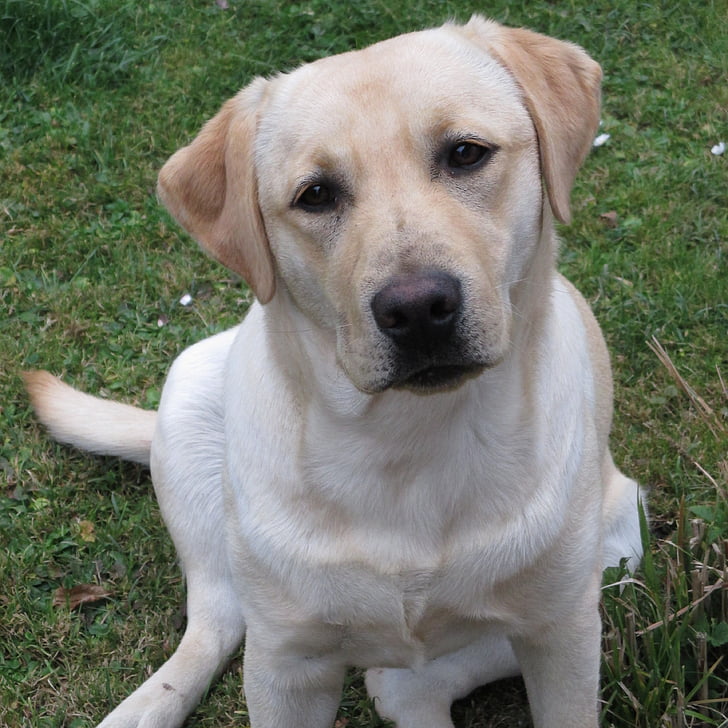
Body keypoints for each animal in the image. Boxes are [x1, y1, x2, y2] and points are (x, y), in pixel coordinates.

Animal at [25, 15, 644, 728]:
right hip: (188, 403)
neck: (404, 442)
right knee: (218, 622)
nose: (417, 309)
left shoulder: (563, 629)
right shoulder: (286, 665)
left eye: (466, 154)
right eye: (316, 195)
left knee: (416, 674)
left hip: (617, 545)